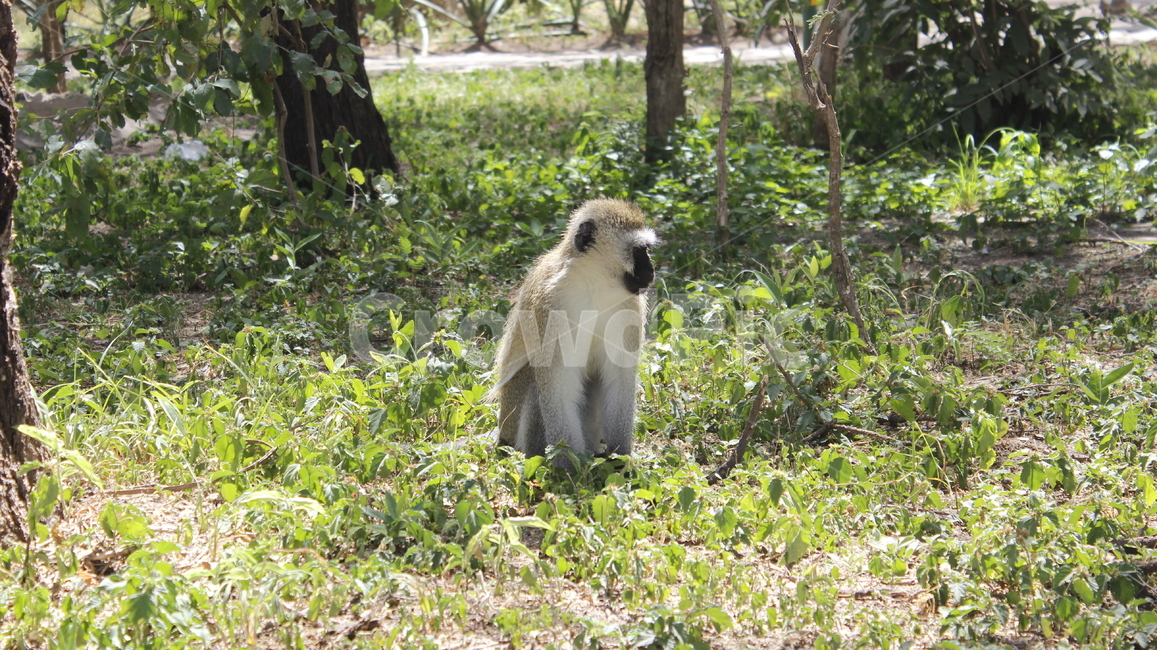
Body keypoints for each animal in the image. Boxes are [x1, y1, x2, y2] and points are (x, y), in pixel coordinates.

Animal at [489, 199, 657, 468]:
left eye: (646, 250)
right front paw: (570, 468)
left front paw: (620, 460)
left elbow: (619, 377)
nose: (651, 270)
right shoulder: (550, 305)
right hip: (510, 420)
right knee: (536, 383)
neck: (595, 284)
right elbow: (559, 384)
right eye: (638, 250)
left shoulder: (632, 305)